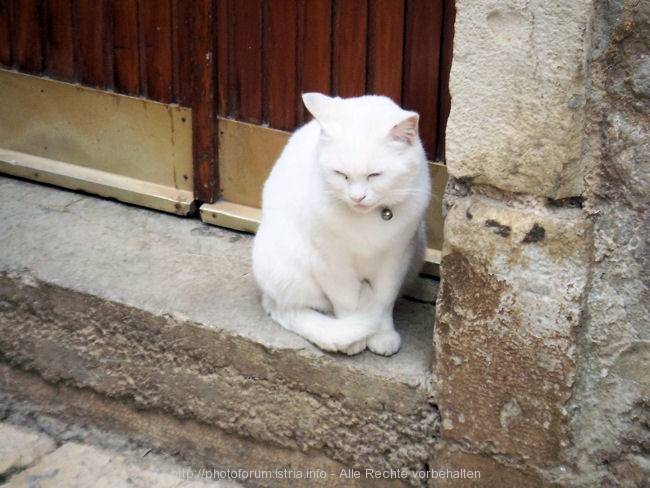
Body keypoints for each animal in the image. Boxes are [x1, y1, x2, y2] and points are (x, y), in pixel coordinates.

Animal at [251, 93, 428, 356]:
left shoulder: (396, 259)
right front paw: (356, 339)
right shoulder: (331, 264)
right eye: (340, 174)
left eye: (375, 175)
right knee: (294, 308)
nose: (357, 197)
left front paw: (382, 335)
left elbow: (384, 302)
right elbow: (348, 303)